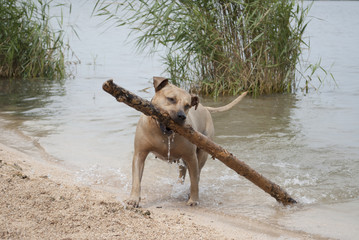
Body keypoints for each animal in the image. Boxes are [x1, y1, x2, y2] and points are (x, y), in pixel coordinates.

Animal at [126, 76, 248, 206]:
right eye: (171, 99)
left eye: (187, 105)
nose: (182, 116)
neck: (163, 134)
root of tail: (204, 107)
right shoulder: (140, 154)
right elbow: (136, 179)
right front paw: (134, 199)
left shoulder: (191, 157)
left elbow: (194, 181)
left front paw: (193, 199)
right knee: (183, 171)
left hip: (202, 153)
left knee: (197, 174)